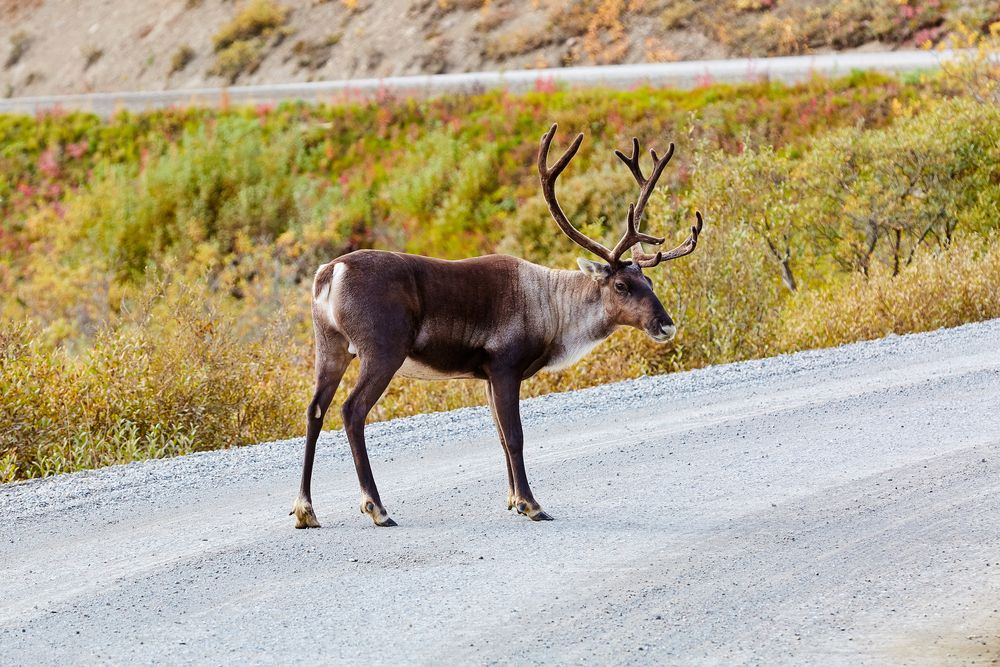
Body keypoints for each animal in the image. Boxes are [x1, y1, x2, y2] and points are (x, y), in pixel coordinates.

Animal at [292, 124, 703, 528]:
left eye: (649, 281)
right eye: (621, 286)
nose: (666, 325)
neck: (551, 311)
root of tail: (330, 272)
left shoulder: (487, 375)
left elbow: (501, 436)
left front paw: (512, 500)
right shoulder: (505, 365)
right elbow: (516, 436)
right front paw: (531, 504)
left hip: (330, 345)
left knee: (314, 410)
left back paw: (305, 510)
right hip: (382, 349)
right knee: (351, 410)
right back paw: (376, 507)